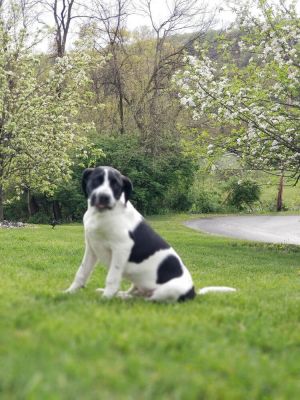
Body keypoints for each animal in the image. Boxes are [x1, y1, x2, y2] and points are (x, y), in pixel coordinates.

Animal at [64, 167, 236, 302]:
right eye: (95, 181)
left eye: (116, 185)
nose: (104, 197)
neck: (101, 215)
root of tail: (193, 292)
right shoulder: (92, 248)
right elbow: (82, 272)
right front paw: (69, 292)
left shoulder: (122, 248)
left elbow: (112, 277)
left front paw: (105, 299)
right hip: (137, 283)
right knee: (134, 294)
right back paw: (120, 295)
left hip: (167, 290)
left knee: (148, 300)